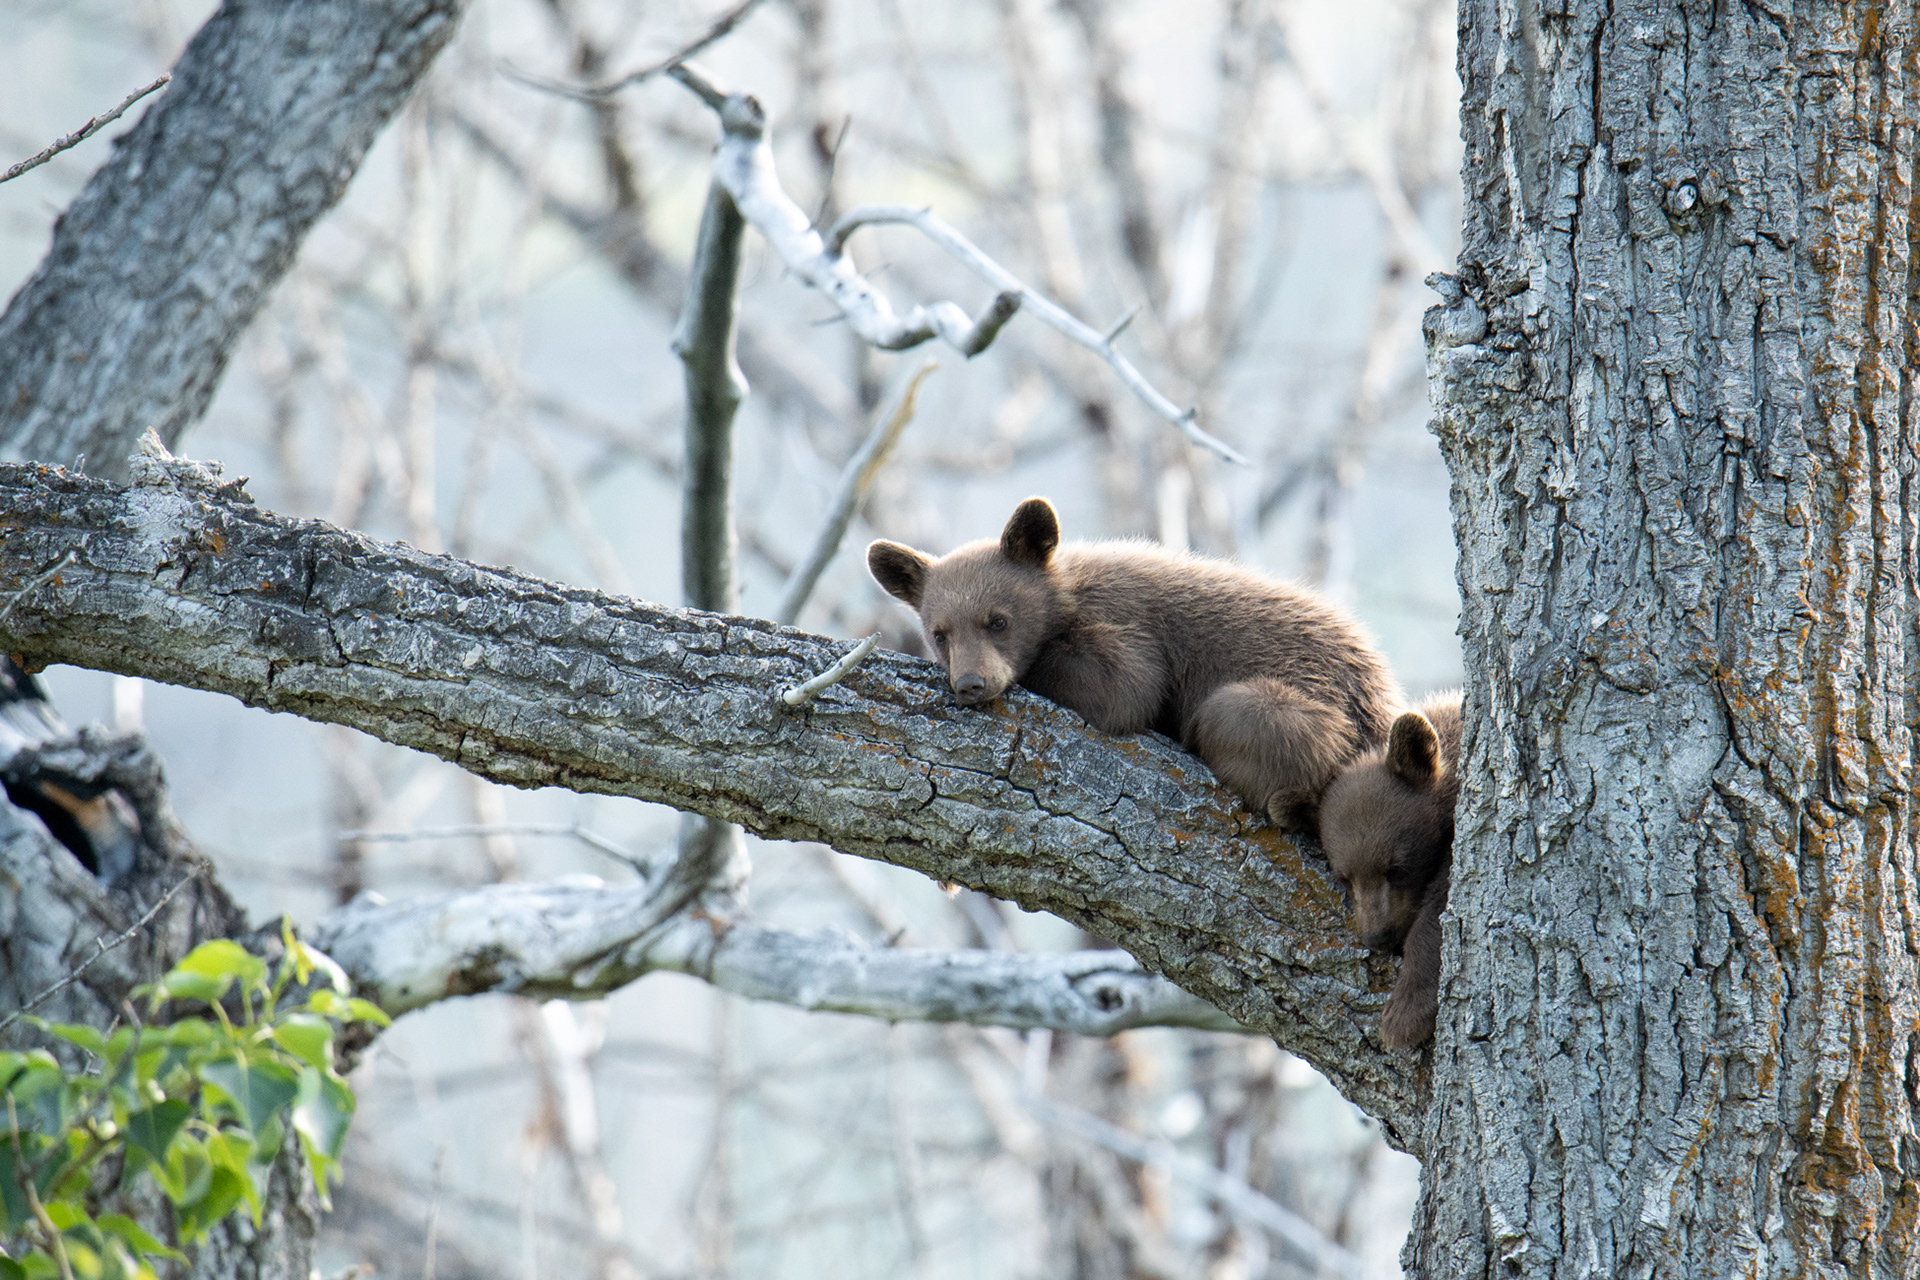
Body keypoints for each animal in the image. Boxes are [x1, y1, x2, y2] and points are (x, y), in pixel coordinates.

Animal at [866, 497, 1403, 829]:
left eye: (997, 620)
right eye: (940, 634)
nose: (970, 684)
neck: (1068, 595)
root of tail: (1382, 711)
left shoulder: (1125, 620)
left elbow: (1126, 688)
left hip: (1300, 715)